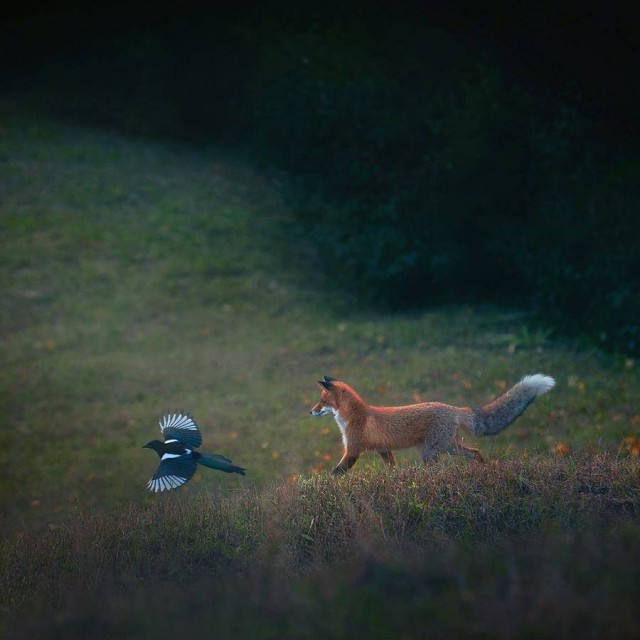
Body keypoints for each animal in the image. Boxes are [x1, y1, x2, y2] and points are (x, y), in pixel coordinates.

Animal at [310, 372, 556, 472]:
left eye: (322, 401)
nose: (310, 411)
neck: (354, 415)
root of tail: (453, 408)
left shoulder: (353, 450)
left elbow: (336, 473)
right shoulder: (383, 449)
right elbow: (391, 469)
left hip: (433, 451)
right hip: (447, 447)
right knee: (475, 452)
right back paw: (484, 468)